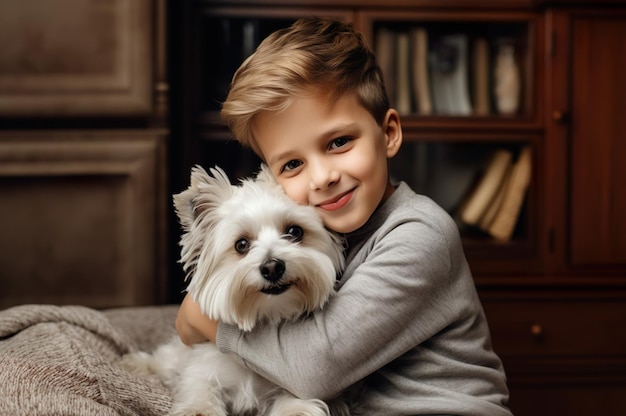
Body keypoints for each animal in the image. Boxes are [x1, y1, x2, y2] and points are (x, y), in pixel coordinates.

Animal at [120, 166, 346, 416]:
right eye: (242, 245)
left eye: (295, 232)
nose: (272, 267)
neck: (265, 314)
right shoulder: (202, 369)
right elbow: (199, 387)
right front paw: (198, 409)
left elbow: (295, 402)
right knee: (165, 360)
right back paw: (137, 364)